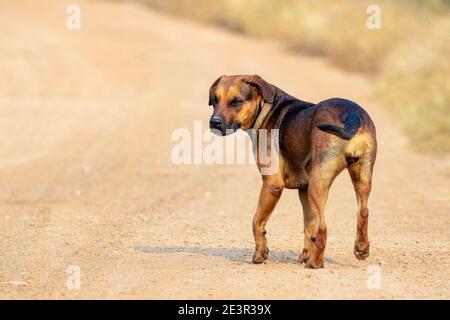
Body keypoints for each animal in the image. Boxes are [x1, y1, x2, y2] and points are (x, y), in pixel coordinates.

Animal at [209, 74, 378, 268]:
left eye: (236, 101)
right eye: (214, 99)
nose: (214, 122)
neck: (266, 109)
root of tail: (352, 115)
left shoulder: (272, 185)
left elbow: (257, 222)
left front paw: (260, 254)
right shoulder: (303, 190)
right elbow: (308, 228)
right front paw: (305, 254)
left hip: (318, 184)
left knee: (323, 227)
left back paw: (315, 263)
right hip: (361, 177)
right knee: (363, 212)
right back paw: (361, 248)